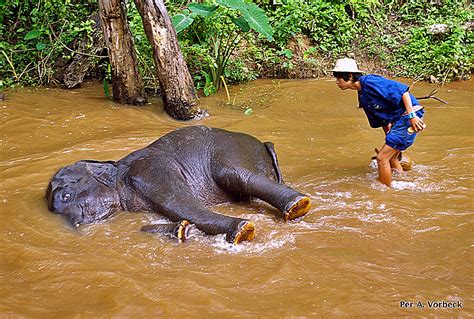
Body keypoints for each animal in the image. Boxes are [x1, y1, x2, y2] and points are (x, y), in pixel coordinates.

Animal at [44, 125, 312, 245]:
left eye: (66, 195)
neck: (118, 169)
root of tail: (264, 144)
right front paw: (181, 231)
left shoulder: (151, 172)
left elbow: (178, 202)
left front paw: (242, 232)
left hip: (230, 151)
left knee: (235, 175)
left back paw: (298, 206)